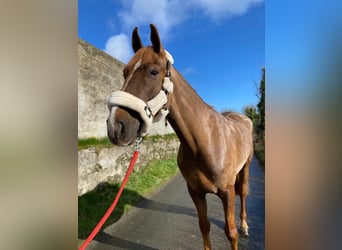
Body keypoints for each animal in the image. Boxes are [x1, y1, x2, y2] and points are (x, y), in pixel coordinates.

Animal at [107, 23, 254, 250]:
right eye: (125, 72)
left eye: (153, 71)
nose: (116, 126)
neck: (205, 141)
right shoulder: (195, 191)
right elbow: (204, 226)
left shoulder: (227, 192)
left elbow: (231, 232)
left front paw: (238, 230)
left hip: (245, 167)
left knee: (244, 193)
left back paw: (245, 225)